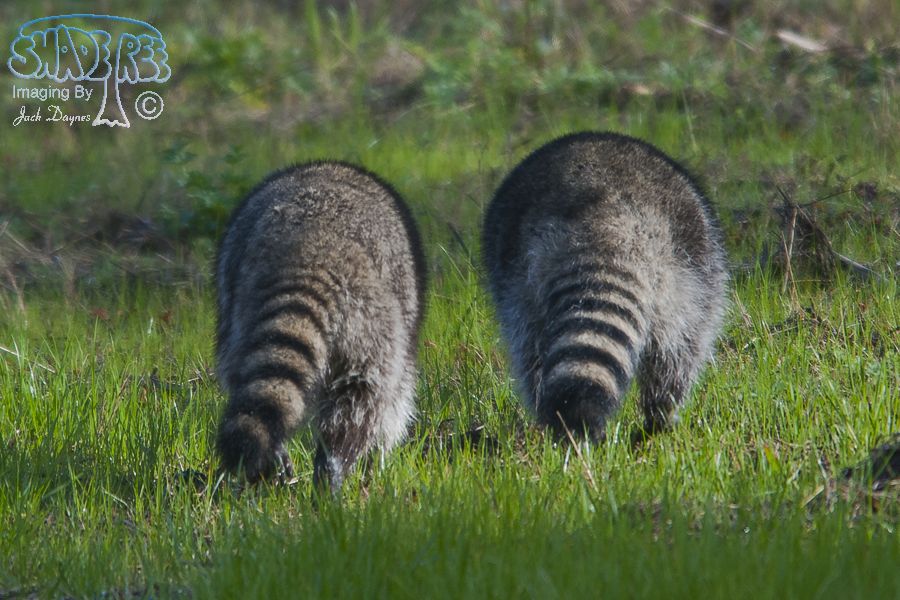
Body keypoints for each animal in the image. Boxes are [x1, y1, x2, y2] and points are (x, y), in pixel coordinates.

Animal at [216, 161, 426, 492]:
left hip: (240, 316)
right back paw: (334, 468)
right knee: (361, 401)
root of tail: (314, 246)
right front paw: (377, 463)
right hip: (375, 323)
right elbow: (394, 405)